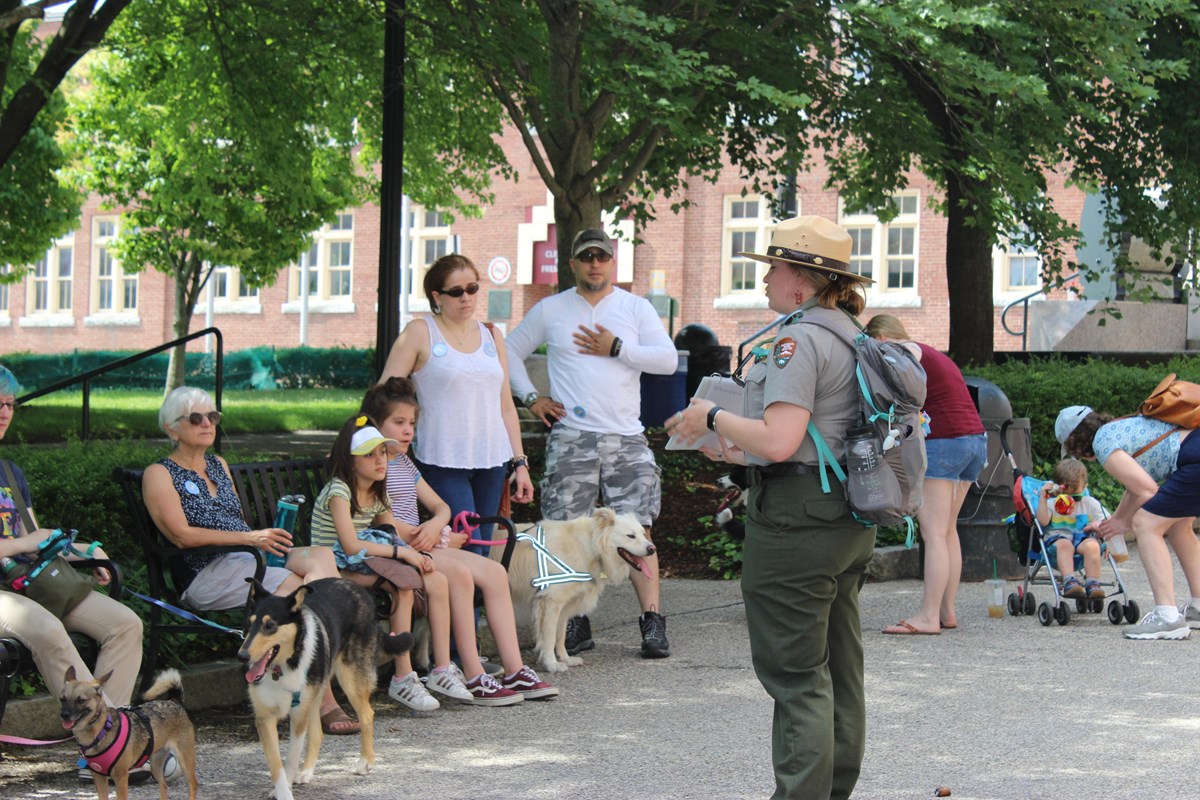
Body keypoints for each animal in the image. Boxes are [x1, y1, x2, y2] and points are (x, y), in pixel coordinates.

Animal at [59, 666, 196, 800]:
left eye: (81, 700)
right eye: (62, 699)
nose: (63, 715)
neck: (102, 731)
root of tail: (174, 702)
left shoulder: (121, 778)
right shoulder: (99, 777)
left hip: (185, 760)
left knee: (193, 784)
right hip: (156, 765)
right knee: (164, 785)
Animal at [236, 578, 415, 800]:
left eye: (270, 625)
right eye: (249, 624)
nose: (242, 656)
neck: (283, 667)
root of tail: (360, 589)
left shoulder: (298, 715)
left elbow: (290, 759)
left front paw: (286, 791)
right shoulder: (265, 718)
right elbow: (276, 764)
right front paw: (281, 789)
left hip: (350, 679)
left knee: (367, 714)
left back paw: (365, 762)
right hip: (317, 690)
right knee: (318, 732)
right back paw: (306, 772)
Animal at [499, 510, 657, 671]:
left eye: (643, 534)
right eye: (630, 536)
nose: (652, 549)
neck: (589, 546)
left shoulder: (563, 606)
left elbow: (560, 635)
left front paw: (566, 659)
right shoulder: (550, 602)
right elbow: (549, 637)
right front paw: (551, 664)